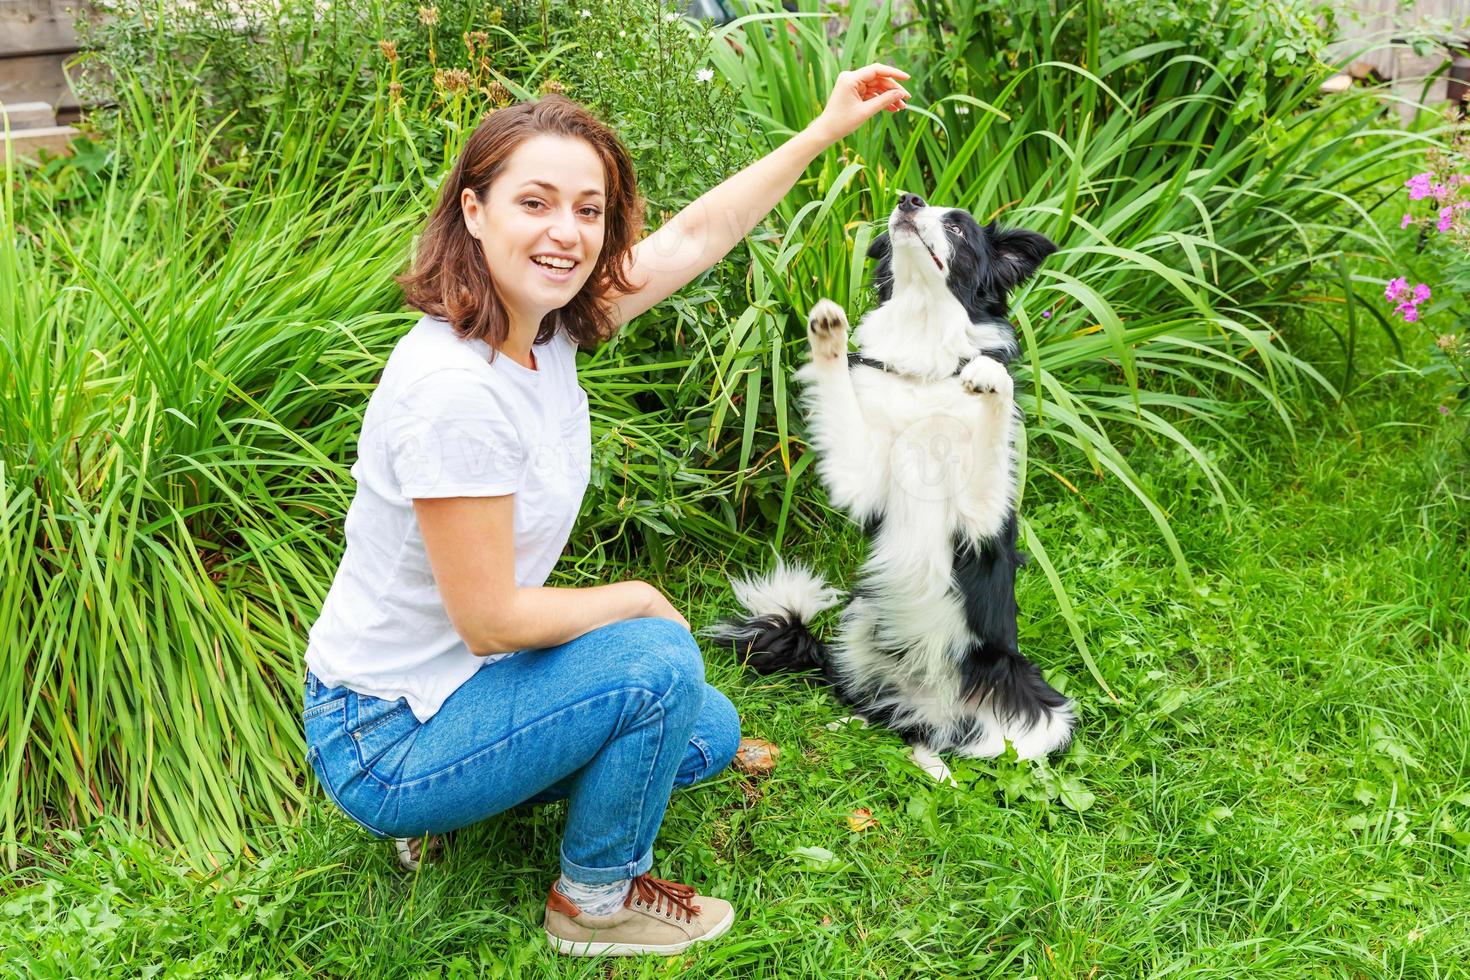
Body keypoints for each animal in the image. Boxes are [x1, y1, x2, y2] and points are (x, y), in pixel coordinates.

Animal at [699, 193, 1070, 781]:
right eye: (920, 203)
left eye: (958, 229)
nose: (907, 201)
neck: (924, 359)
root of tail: (931, 708)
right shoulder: (862, 476)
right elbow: (838, 395)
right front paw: (827, 334)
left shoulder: (981, 519)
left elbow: (994, 409)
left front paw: (988, 376)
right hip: (857, 630)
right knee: (877, 710)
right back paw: (854, 727)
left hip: (1043, 713)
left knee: (966, 743)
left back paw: (940, 766)